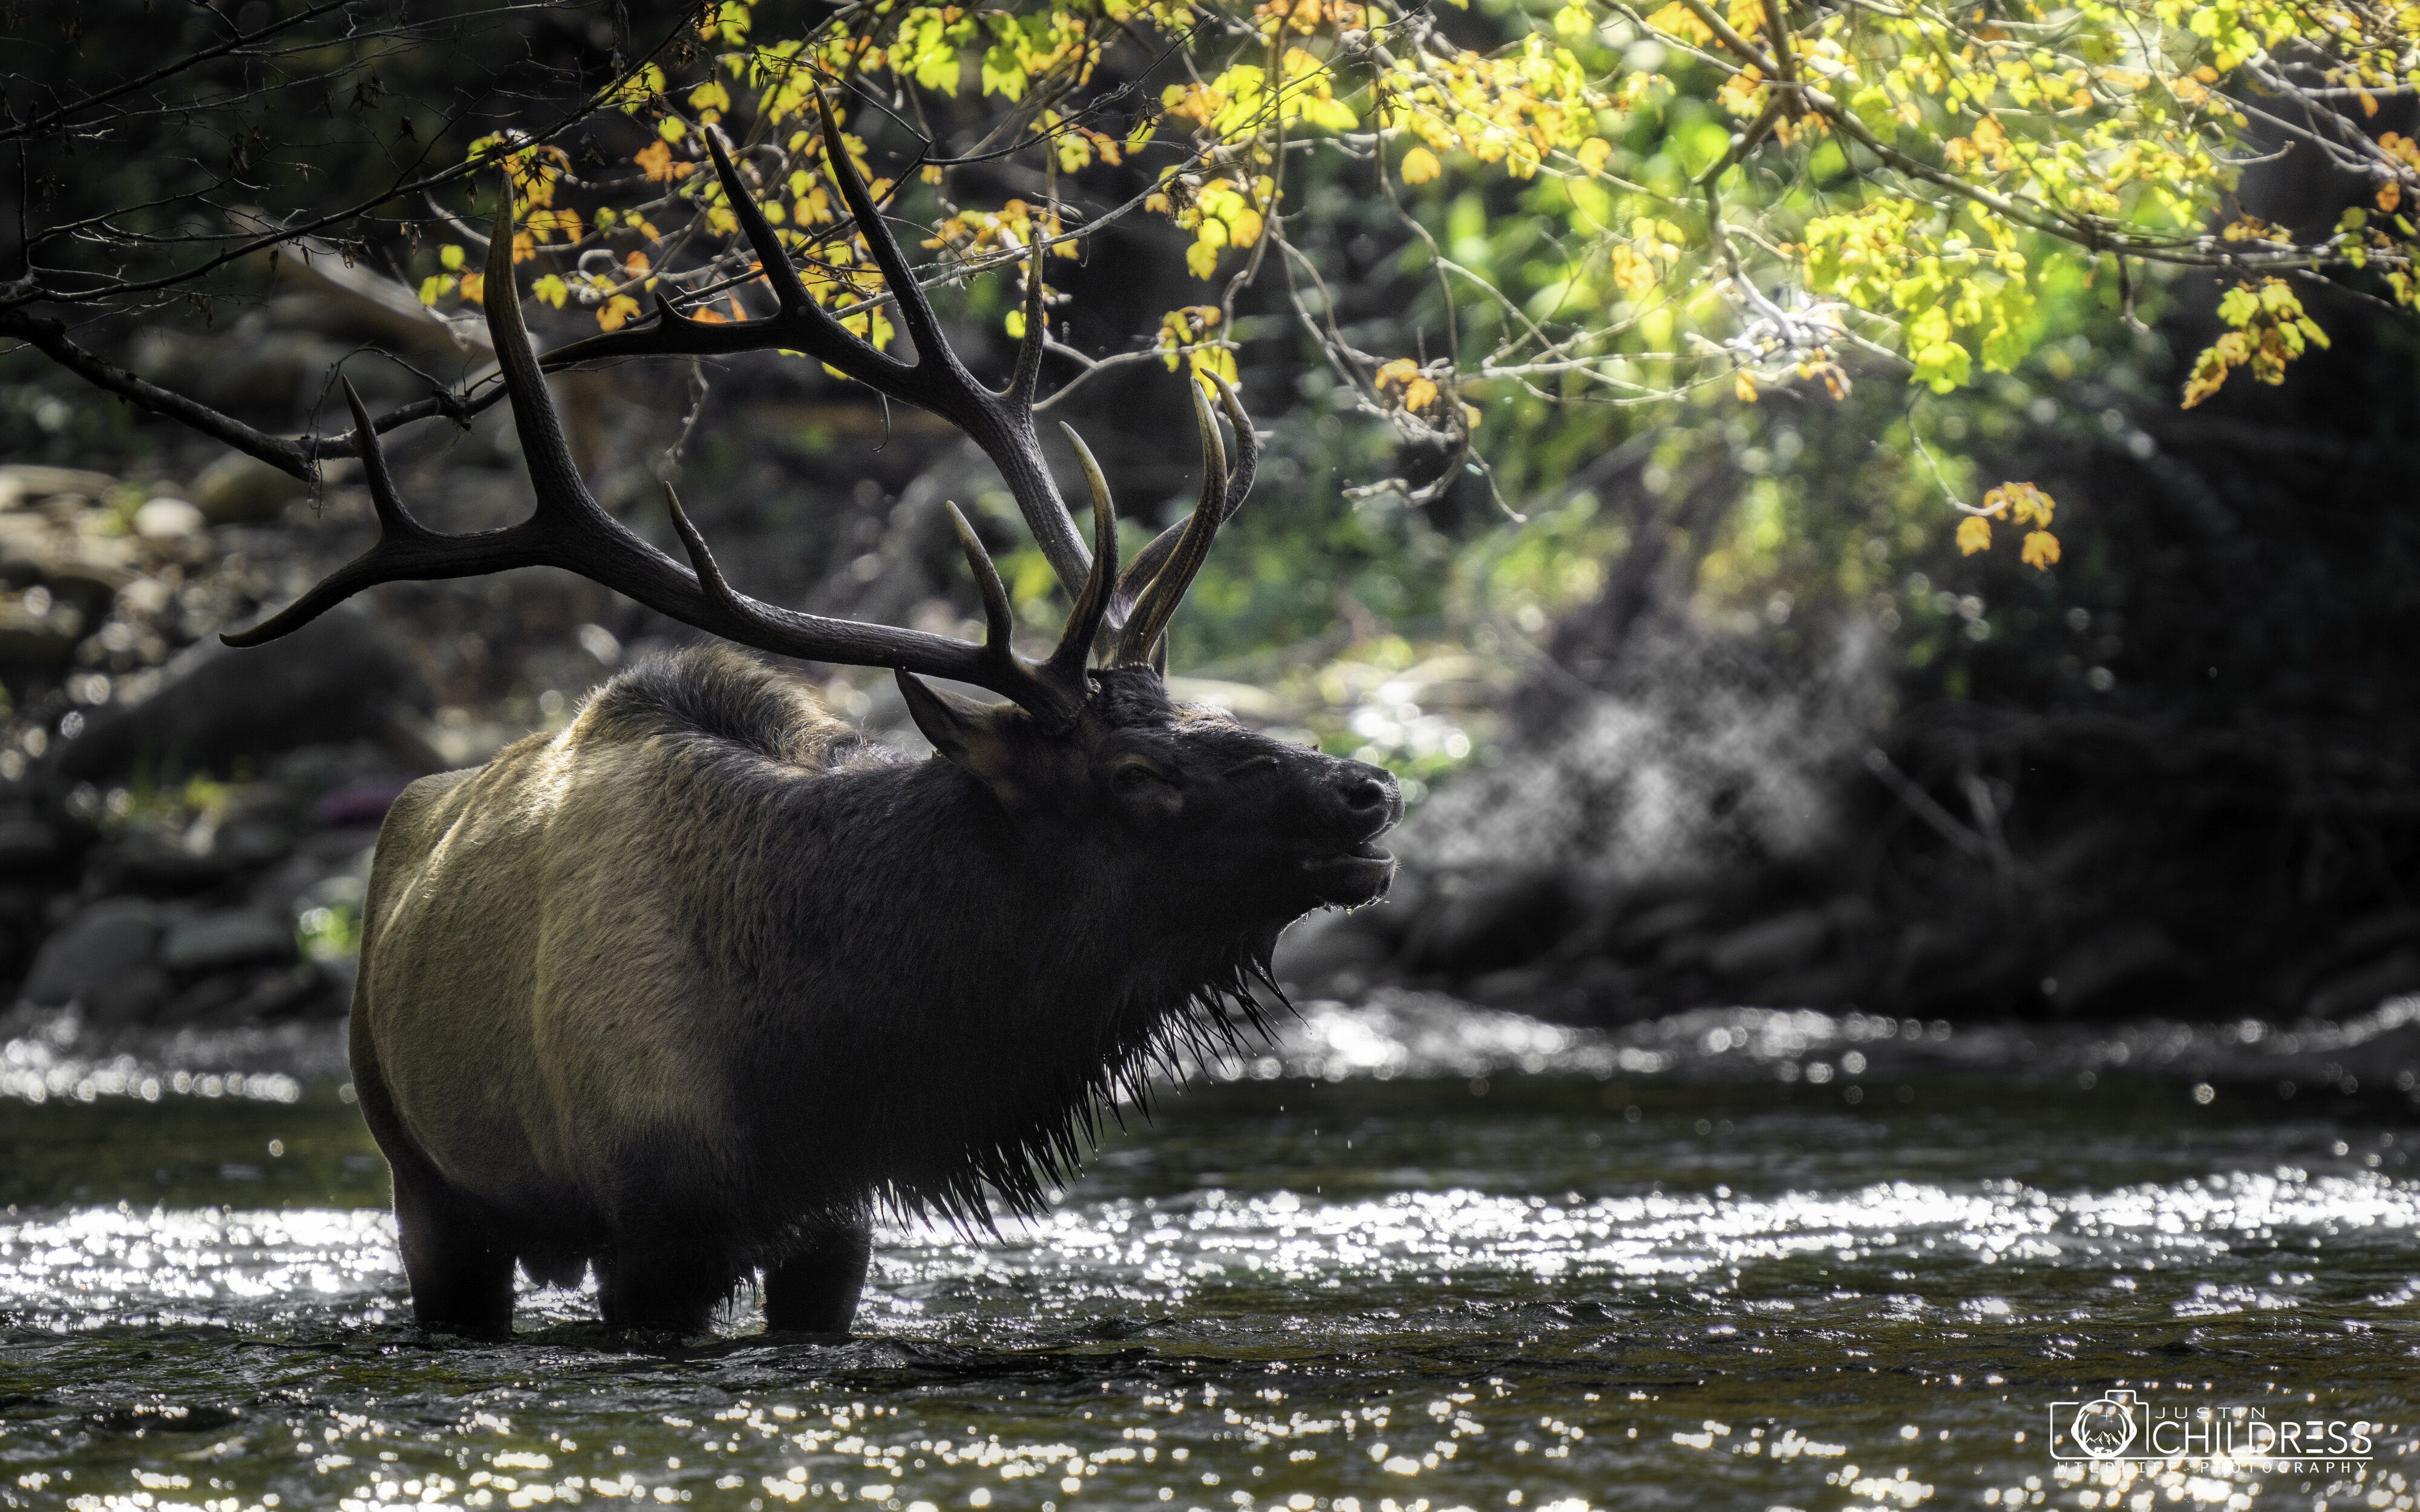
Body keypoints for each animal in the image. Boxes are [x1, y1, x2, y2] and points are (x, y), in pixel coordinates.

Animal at [231, 97, 1404, 1335]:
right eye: (1134, 774)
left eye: (1202, 712)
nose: (1370, 790)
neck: (813, 1071)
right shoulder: (650, 1236)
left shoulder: (836, 1226)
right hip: (422, 1176)